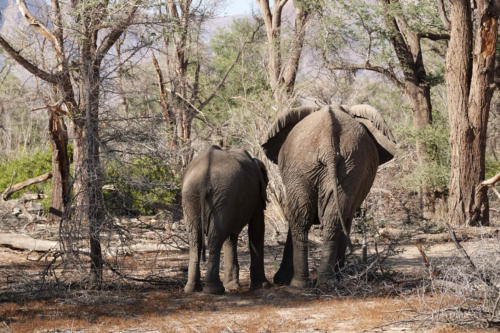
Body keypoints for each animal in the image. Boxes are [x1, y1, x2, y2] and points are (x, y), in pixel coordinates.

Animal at [183, 145, 272, 294]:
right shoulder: (255, 197)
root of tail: (204, 177)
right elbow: (257, 227)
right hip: (221, 194)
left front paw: (232, 286)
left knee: (195, 238)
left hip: (193, 194)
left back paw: (192, 288)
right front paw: (263, 286)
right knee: (215, 236)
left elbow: (231, 236)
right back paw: (214, 289)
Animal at [260, 104, 396, 288]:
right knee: (319, 219)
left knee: (307, 218)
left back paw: (310, 283)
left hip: (325, 166)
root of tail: (328, 145)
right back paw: (322, 282)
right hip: (328, 166)